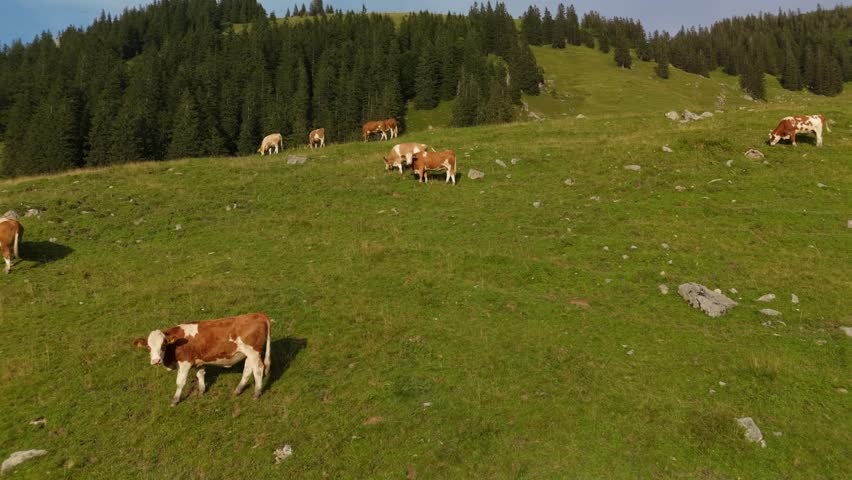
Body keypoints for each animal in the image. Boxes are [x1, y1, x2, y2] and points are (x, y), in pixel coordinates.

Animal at [133, 312, 272, 406]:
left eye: (163, 345)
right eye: (148, 347)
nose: (155, 361)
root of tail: (258, 314)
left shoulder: (185, 362)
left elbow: (180, 382)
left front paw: (175, 400)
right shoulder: (198, 361)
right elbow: (200, 375)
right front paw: (201, 391)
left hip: (253, 352)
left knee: (258, 369)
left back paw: (257, 393)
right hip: (249, 354)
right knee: (248, 369)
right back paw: (238, 390)